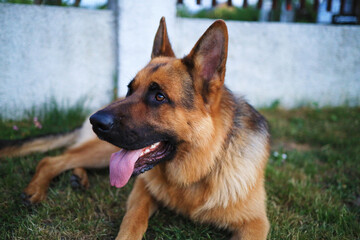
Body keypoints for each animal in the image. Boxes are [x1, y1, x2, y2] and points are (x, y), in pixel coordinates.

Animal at [2, 17, 270, 239]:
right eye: (130, 89)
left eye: (159, 97)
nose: (95, 121)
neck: (201, 168)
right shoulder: (141, 189)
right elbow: (133, 221)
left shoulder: (256, 224)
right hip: (103, 151)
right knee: (52, 159)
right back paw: (37, 189)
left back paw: (78, 176)